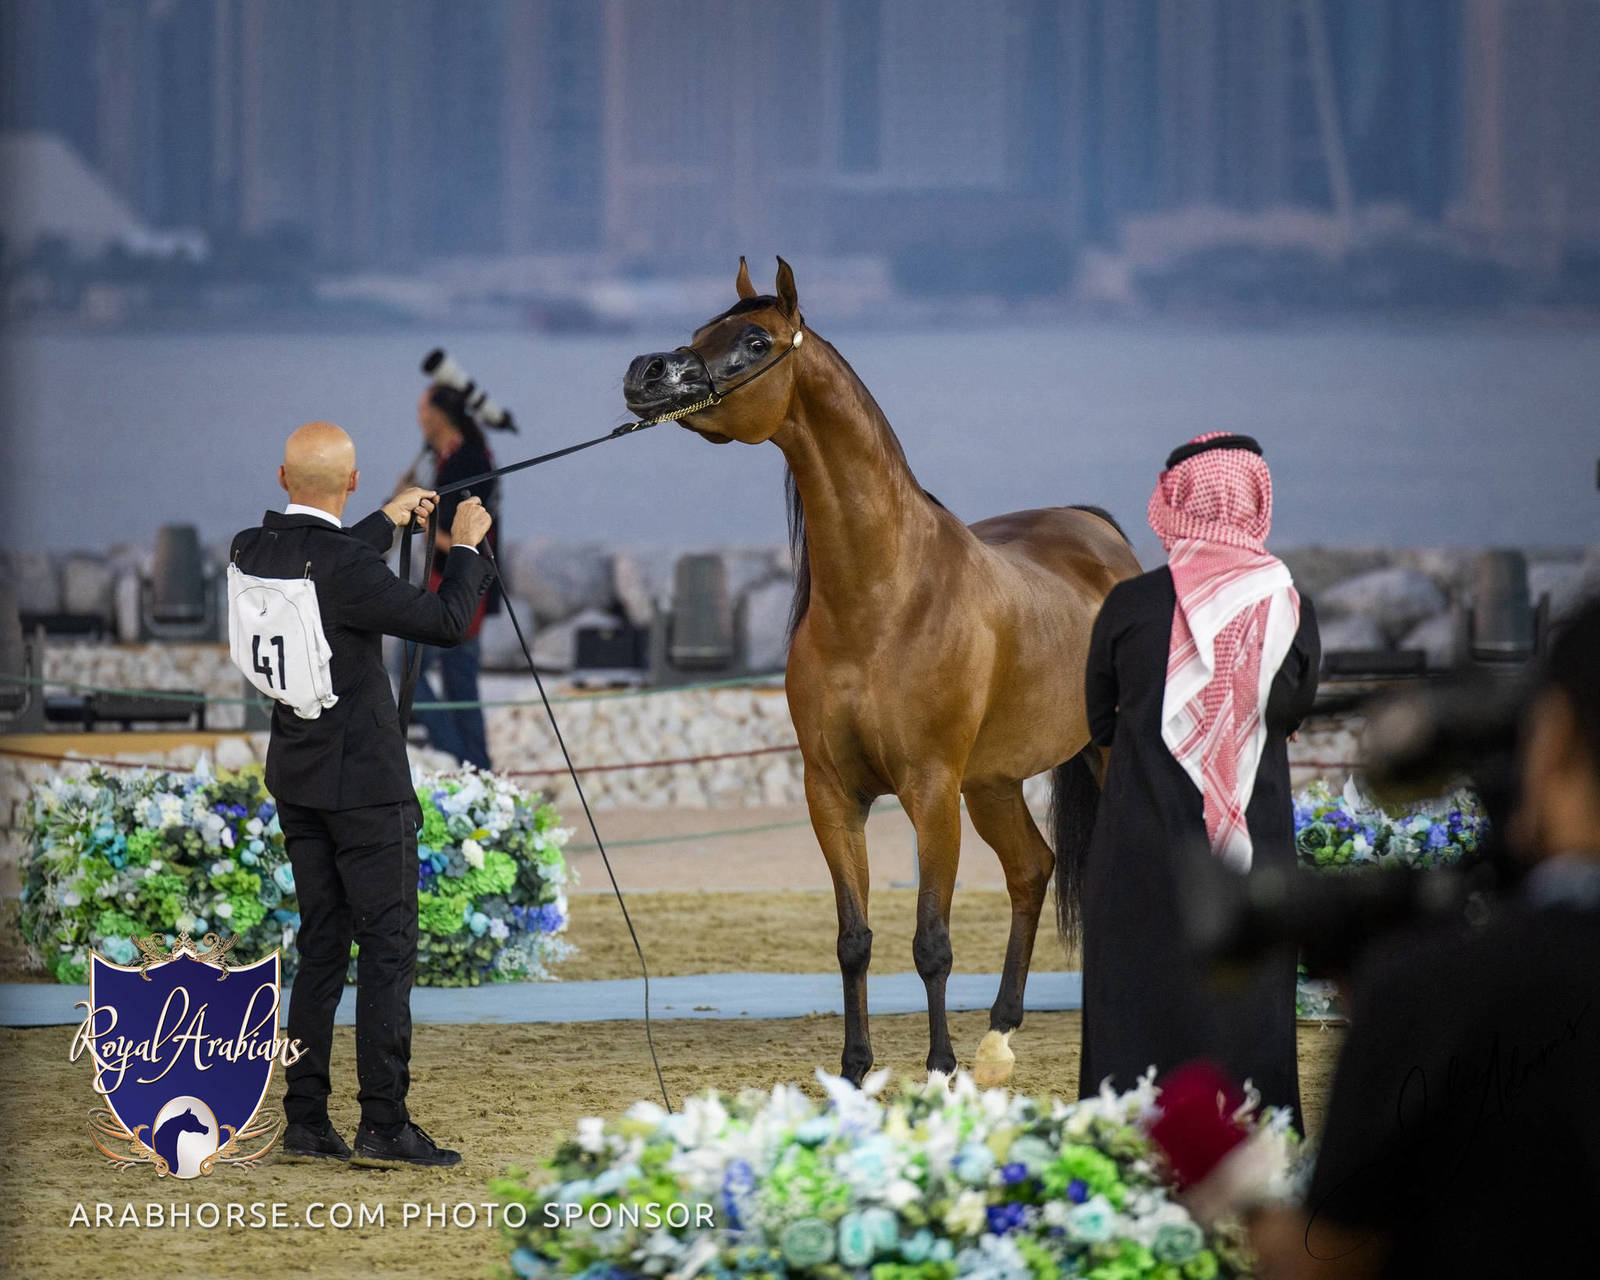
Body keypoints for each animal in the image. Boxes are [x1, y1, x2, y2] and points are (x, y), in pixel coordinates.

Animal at [623, 258, 1141, 1087]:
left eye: (755, 340)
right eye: (700, 331)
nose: (646, 372)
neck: (885, 599)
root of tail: (1099, 537)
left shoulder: (929, 790)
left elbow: (931, 941)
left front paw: (939, 1067)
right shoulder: (833, 795)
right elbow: (854, 940)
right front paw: (856, 1067)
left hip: (1097, 754)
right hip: (993, 781)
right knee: (1031, 870)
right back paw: (1002, 1029)